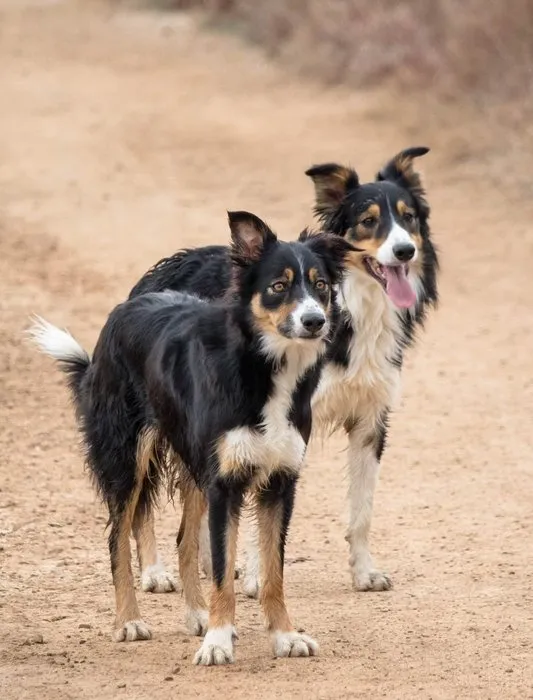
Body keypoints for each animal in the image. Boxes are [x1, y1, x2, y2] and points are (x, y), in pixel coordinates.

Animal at [28, 211, 354, 664]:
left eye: (320, 285)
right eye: (278, 286)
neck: (262, 368)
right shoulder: (224, 485)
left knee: (184, 539)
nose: (314, 321)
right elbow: (221, 570)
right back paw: (129, 621)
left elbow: (272, 572)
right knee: (116, 537)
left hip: (193, 464)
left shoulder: (279, 483)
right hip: (128, 460)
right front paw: (217, 641)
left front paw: (283, 636)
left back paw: (196, 614)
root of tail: (127, 306)